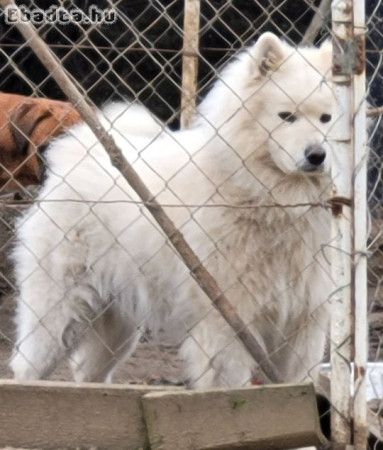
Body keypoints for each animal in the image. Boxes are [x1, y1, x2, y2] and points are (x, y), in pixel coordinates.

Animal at [10, 34, 336, 386]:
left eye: (326, 119)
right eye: (286, 116)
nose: (317, 155)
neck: (270, 198)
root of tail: (78, 154)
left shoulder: (305, 319)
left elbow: (300, 382)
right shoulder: (227, 323)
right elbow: (229, 384)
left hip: (116, 326)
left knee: (88, 373)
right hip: (58, 314)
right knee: (26, 368)